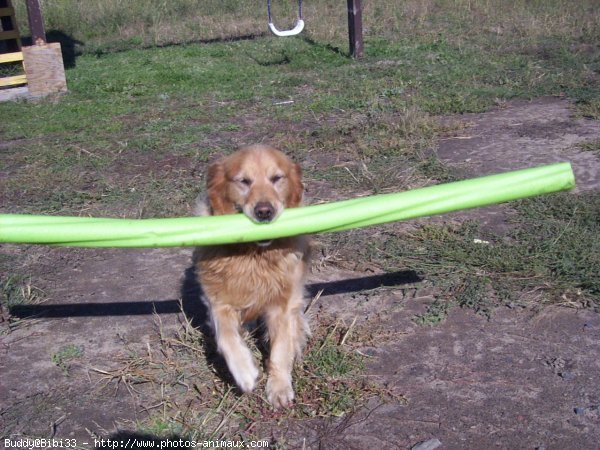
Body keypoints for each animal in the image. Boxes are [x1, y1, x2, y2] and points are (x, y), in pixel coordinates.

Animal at [195, 144, 312, 408]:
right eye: (244, 181)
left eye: (277, 178)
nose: (264, 211)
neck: (254, 257)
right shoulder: (218, 299)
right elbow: (226, 336)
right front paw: (245, 372)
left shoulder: (283, 303)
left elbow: (280, 348)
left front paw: (279, 388)